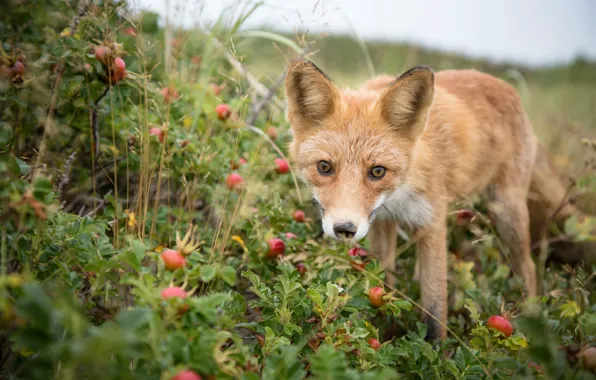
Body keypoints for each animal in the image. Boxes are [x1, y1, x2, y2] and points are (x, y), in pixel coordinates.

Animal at [284, 60, 576, 342]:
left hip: (507, 213)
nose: (345, 228)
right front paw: (380, 324)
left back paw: (530, 319)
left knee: (528, 267)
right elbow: (382, 283)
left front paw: (435, 349)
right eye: (324, 167)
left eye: (377, 171)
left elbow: (435, 305)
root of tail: (506, 86)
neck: (400, 192)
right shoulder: (382, 221)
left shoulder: (433, 223)